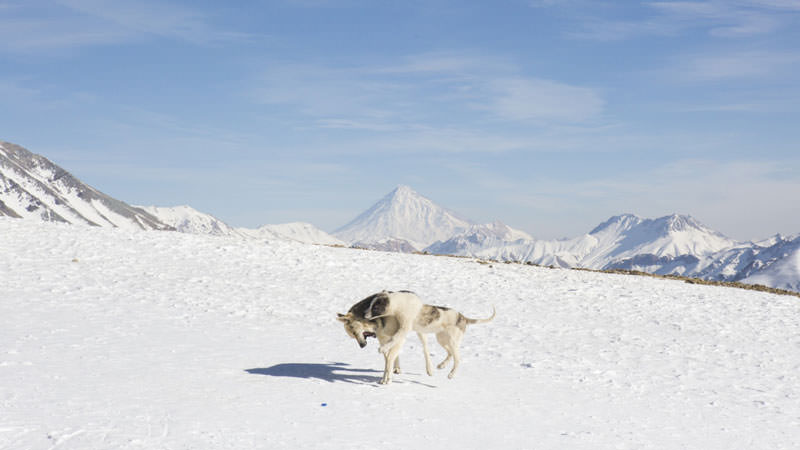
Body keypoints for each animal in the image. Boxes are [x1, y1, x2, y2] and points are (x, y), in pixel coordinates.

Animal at [332, 292, 494, 384]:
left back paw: (450, 374)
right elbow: (389, 358)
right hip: (442, 339)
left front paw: (384, 355)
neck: (398, 305)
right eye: (370, 305)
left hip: (451, 341)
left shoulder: (404, 328)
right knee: (449, 354)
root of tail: (463, 317)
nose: (365, 315)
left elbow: (392, 346)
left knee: (457, 359)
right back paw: (441, 366)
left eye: (375, 307)